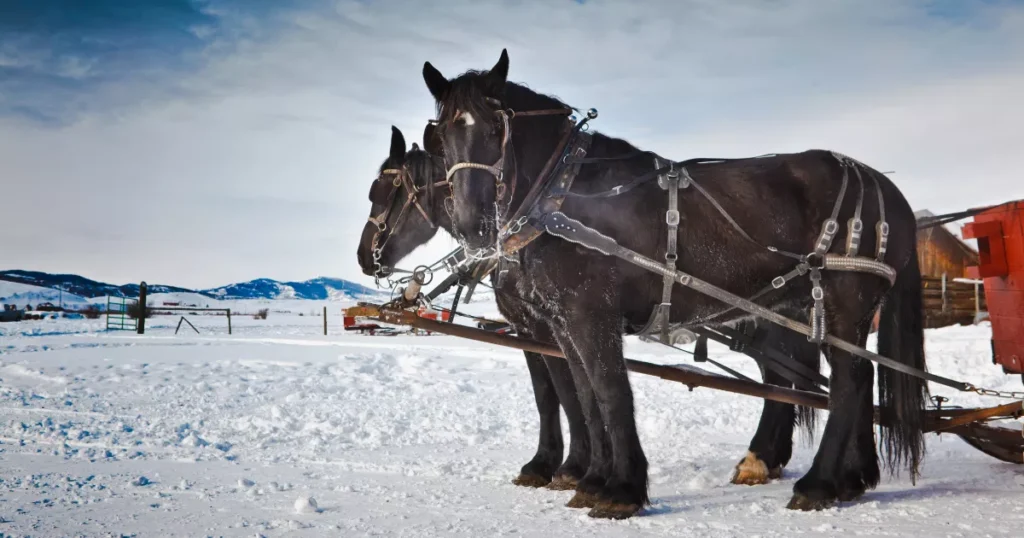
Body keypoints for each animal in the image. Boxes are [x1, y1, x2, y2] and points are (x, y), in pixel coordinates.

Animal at [352, 122, 823, 508]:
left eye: (386, 192)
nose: (363, 256)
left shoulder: (546, 327)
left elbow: (563, 394)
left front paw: (567, 467)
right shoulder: (534, 327)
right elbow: (556, 394)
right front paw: (569, 466)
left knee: (782, 381)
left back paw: (761, 458)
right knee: (780, 381)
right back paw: (765, 459)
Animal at [419, 49, 933, 516]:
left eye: (495, 129)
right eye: (442, 136)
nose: (472, 223)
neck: (565, 194)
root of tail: (888, 189)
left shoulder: (591, 314)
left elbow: (609, 391)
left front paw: (621, 490)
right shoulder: (562, 324)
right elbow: (584, 395)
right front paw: (593, 479)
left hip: (844, 302)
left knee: (849, 380)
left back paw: (820, 483)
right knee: (848, 379)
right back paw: (852, 477)